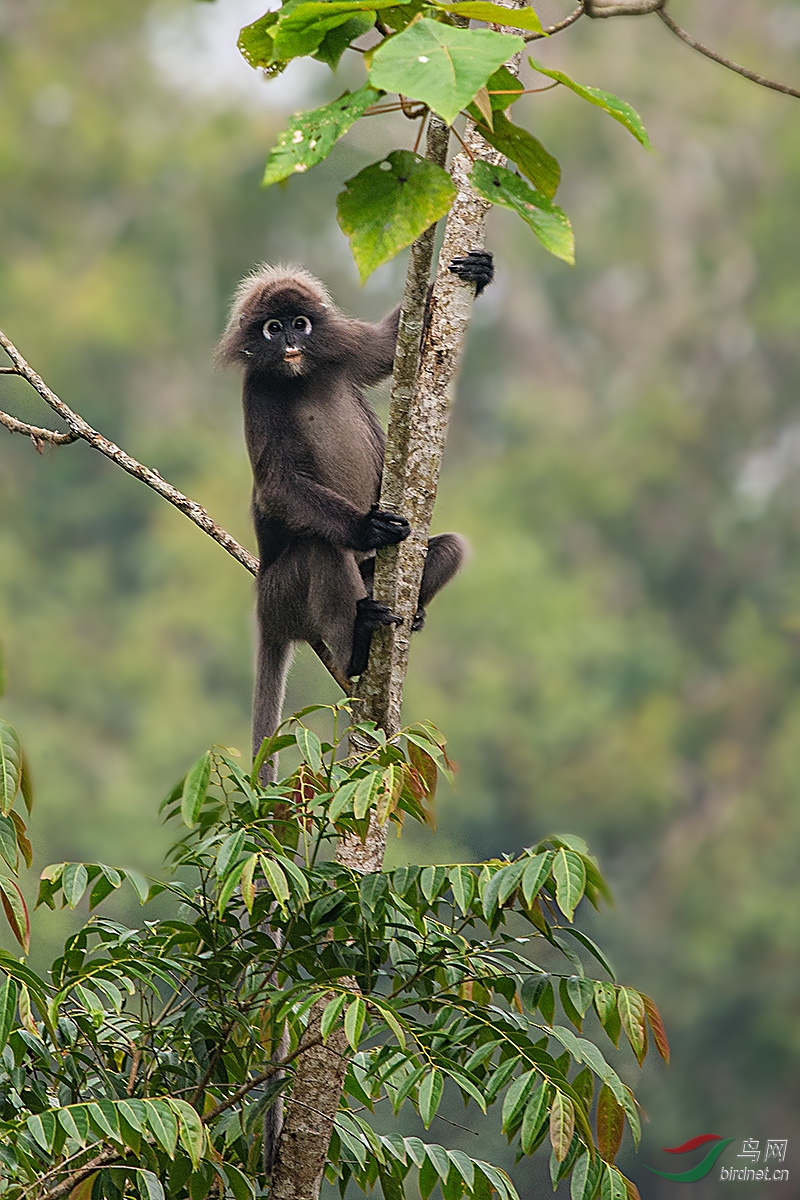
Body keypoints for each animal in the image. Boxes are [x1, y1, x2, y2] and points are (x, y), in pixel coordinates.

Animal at [219, 249, 494, 782]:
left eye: (300, 324)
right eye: (272, 328)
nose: (290, 343)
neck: (300, 375)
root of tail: (263, 610)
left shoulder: (340, 349)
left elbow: (392, 345)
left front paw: (479, 270)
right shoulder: (256, 392)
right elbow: (276, 487)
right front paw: (367, 527)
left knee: (448, 549)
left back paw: (411, 617)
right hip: (283, 593)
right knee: (320, 550)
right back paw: (356, 650)